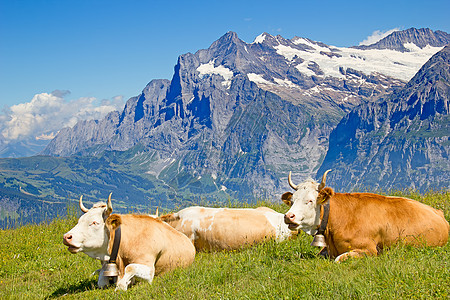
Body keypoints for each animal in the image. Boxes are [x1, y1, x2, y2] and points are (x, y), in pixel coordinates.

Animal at [62, 195, 195, 290]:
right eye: (79, 220)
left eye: (94, 222)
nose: (66, 237)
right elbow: (101, 281)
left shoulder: (149, 270)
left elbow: (130, 269)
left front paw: (123, 284)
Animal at [284, 170, 448, 262]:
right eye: (292, 200)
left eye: (310, 200)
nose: (288, 216)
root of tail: (439, 212)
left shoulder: (369, 250)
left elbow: (338, 259)